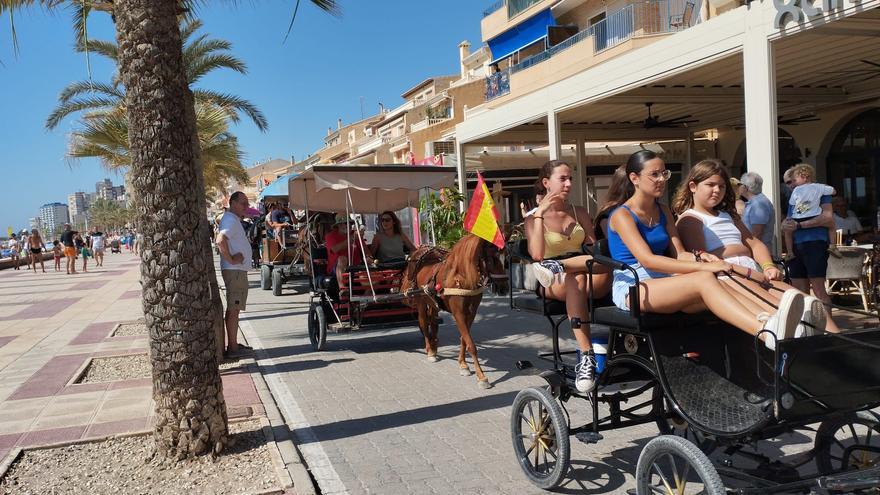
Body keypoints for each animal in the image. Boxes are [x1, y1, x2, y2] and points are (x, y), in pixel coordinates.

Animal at [400, 234, 508, 390]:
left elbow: (464, 339)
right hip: (420, 302)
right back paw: (430, 351)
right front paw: (481, 377)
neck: (462, 279)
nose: (504, 288)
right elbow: (471, 344)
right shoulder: (458, 314)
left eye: (506, 259)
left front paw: (463, 365)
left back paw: (434, 345)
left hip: (432, 303)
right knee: (424, 323)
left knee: (433, 321)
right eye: (491, 259)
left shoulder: (471, 313)